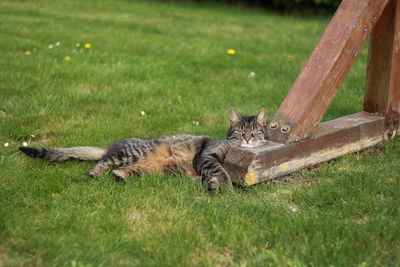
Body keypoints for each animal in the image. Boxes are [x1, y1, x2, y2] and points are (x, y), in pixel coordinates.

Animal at [19, 110, 268, 194]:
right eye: (240, 132)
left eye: (255, 132)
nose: (247, 139)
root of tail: (112, 144)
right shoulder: (206, 156)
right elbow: (220, 173)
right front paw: (228, 189)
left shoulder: (202, 169)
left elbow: (210, 179)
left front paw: (215, 188)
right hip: (131, 153)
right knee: (104, 162)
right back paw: (94, 174)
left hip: (148, 169)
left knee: (119, 170)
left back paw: (120, 177)